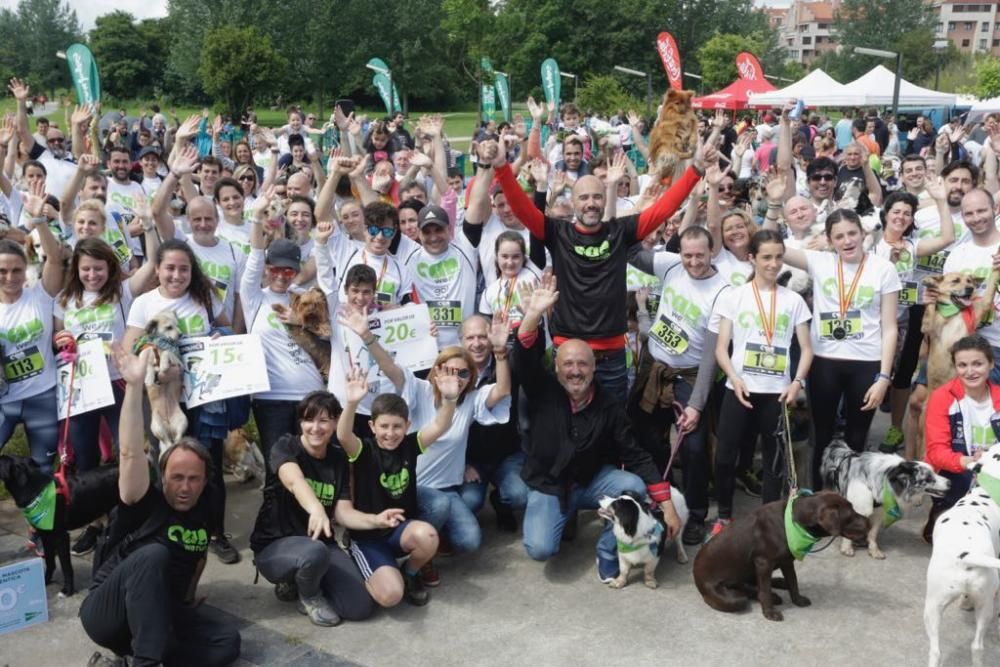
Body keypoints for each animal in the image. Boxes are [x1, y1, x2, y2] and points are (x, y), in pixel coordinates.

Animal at [0, 456, 120, 596]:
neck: (35, 490)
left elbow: (66, 566)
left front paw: (68, 590)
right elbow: (50, 561)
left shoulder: (61, 536)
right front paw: (45, 581)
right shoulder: (46, 535)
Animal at [696, 494, 868, 624]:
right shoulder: (763, 563)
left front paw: (797, 600)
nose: (869, 522)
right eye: (851, 515)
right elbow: (765, 590)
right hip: (732, 597)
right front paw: (769, 611)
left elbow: (793, 582)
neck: (794, 522)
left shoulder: (786, 561)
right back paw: (772, 595)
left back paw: (779, 584)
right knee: (745, 592)